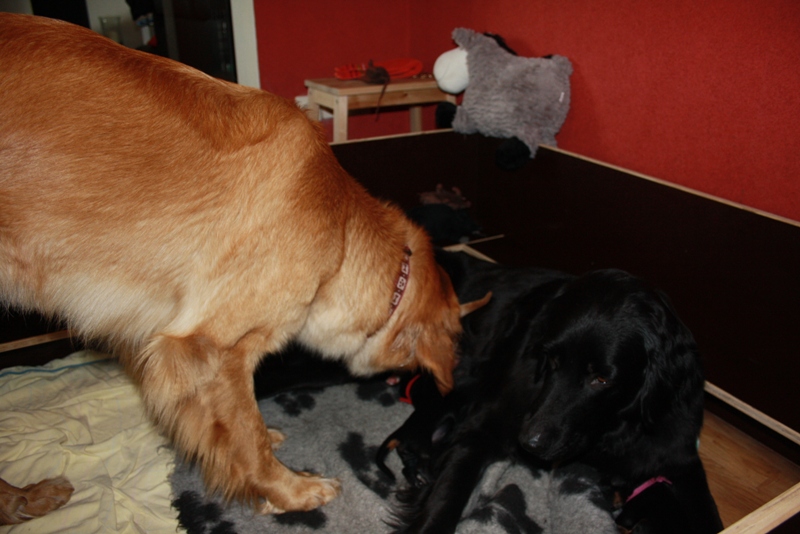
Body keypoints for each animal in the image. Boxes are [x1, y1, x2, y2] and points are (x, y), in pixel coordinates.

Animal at [0, 14, 489, 522]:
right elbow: (247, 435)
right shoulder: (210, 349)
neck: (338, 229)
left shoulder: (152, 344)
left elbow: (231, 425)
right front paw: (288, 490)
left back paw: (28, 498)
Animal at [378, 250, 723, 534]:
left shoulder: (677, 456)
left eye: (601, 379)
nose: (530, 442)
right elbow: (447, 496)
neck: (609, 430)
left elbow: (709, 516)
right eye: (553, 360)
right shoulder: (481, 429)